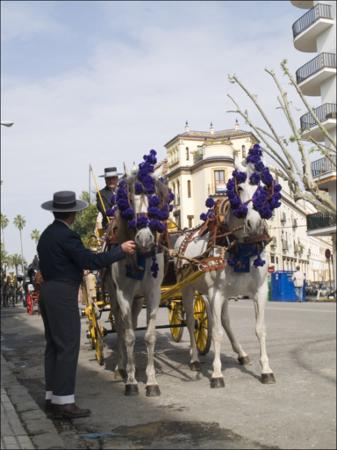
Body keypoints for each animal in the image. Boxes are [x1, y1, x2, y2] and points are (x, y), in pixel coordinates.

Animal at [106, 167, 169, 396]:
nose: (144, 238)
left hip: (137, 300)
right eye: (130, 202)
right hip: (114, 296)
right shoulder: (123, 295)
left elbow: (149, 336)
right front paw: (132, 382)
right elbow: (129, 337)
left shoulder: (152, 294)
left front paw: (151, 382)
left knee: (130, 323)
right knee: (121, 328)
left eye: (155, 202)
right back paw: (121, 367)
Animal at [175, 156, 276, 384]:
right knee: (192, 322)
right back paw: (194, 358)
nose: (254, 223)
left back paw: (241, 354)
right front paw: (217, 373)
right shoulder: (216, 292)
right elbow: (216, 333)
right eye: (239, 187)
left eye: (264, 187)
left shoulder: (259, 291)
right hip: (188, 290)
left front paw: (266, 369)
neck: (240, 246)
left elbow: (260, 329)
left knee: (224, 320)